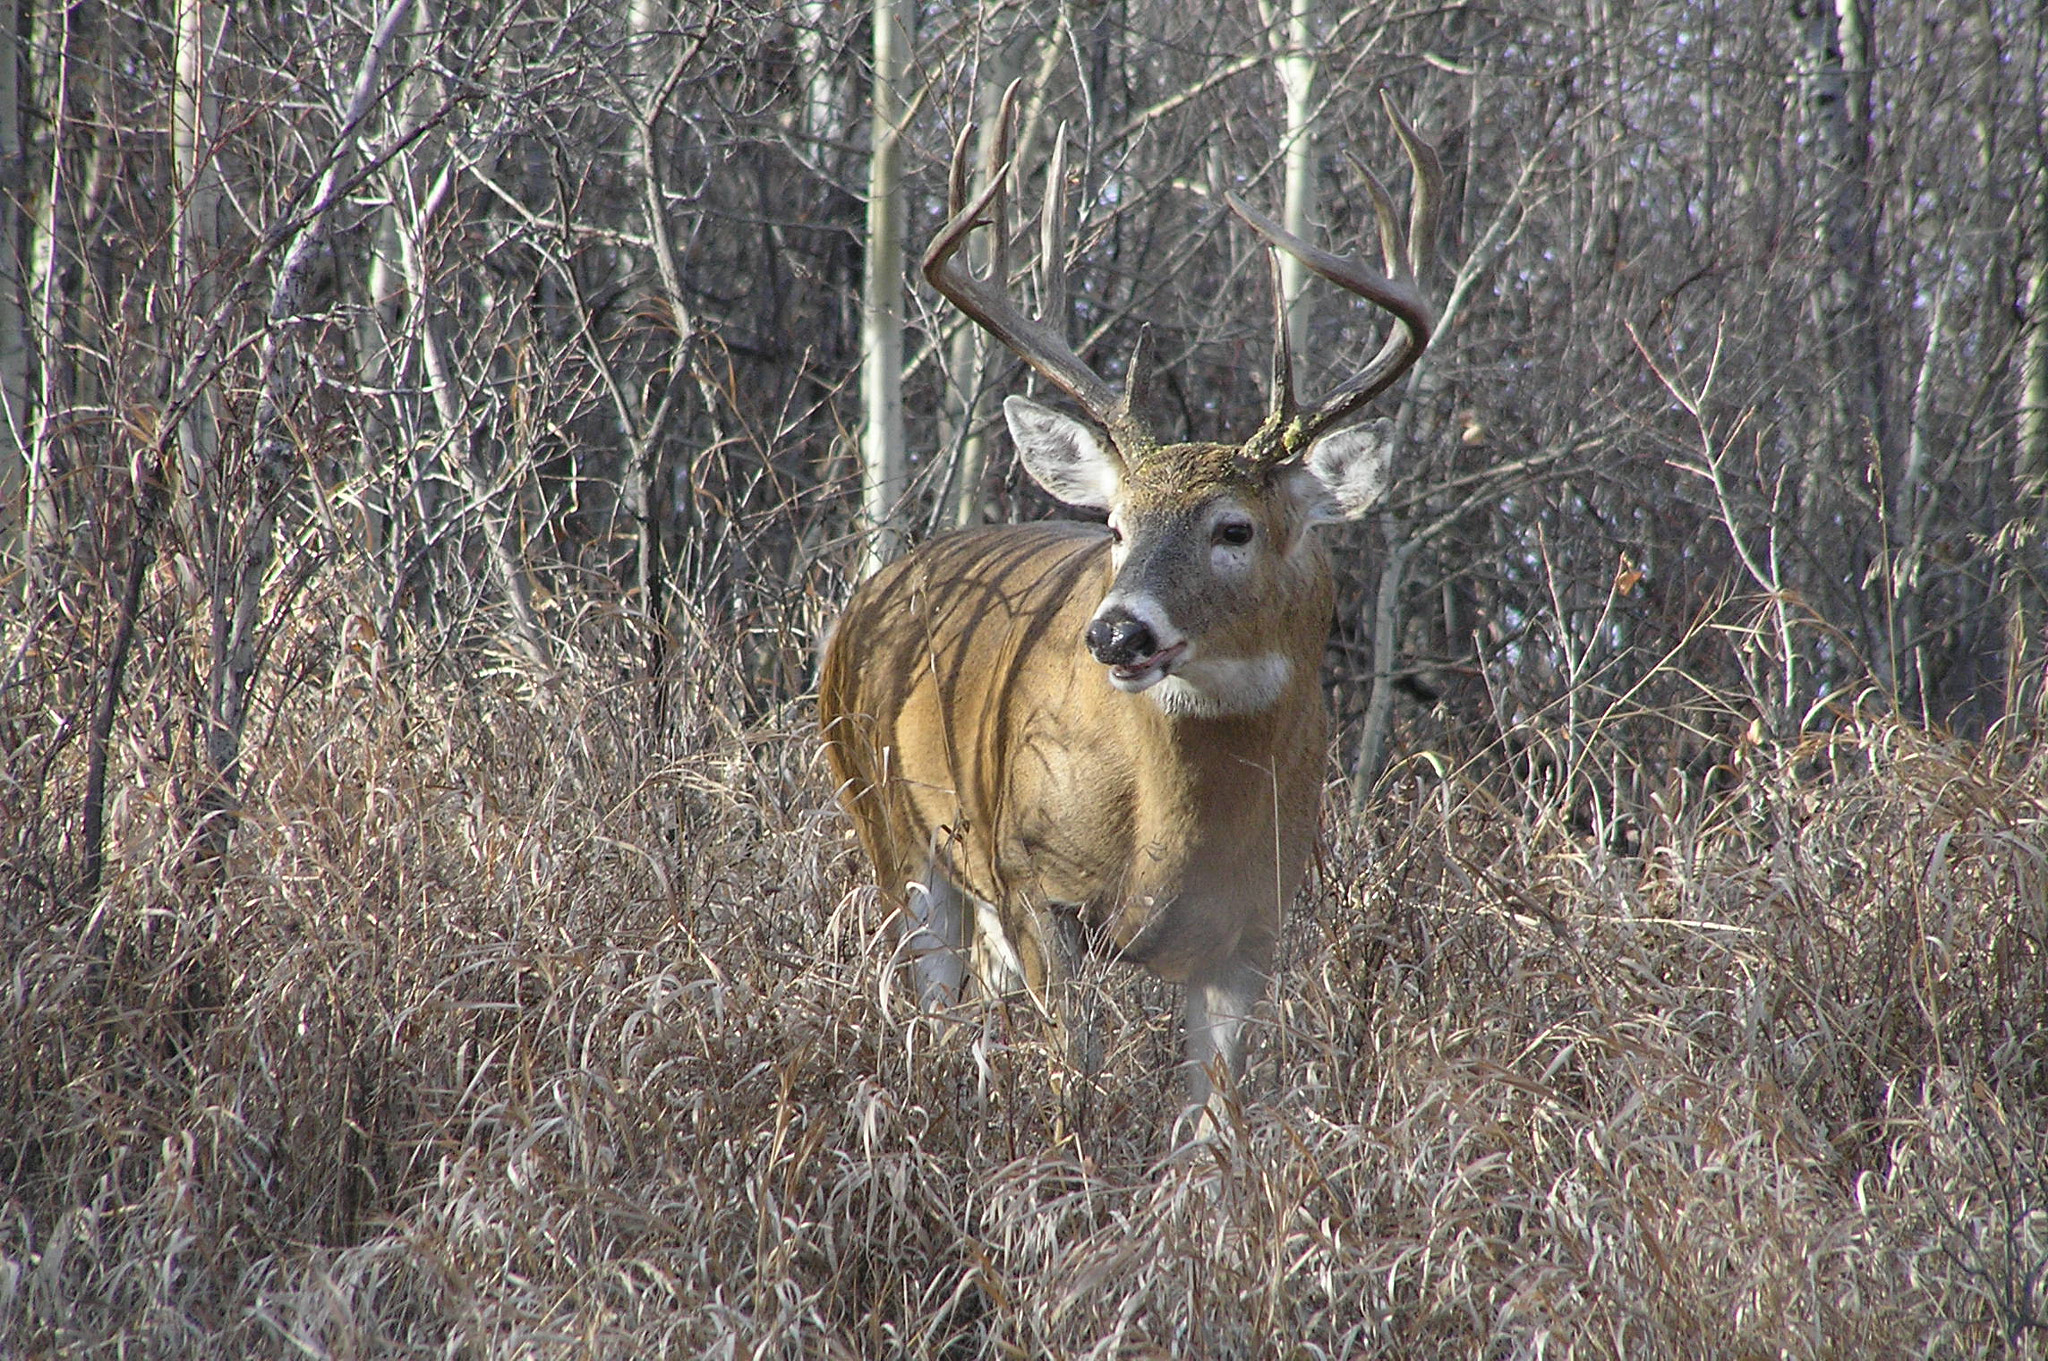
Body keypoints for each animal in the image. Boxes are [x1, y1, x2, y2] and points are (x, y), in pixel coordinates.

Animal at [819, 93, 1441, 1113]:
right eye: (1114, 524)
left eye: (1234, 527)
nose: (1115, 631)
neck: (1169, 831)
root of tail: (870, 597)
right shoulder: (1035, 883)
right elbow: (1076, 1072)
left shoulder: (1254, 928)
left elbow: (1212, 1118)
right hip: (890, 826)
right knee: (932, 1006)